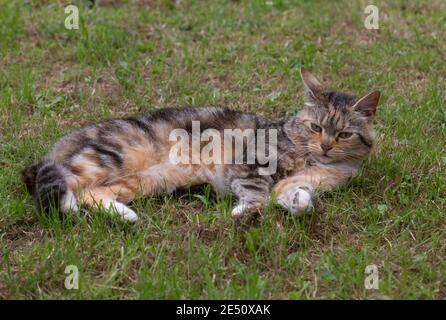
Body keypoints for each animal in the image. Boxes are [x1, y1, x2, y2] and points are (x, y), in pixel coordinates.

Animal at [21, 67, 380, 222]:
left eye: (343, 134)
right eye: (316, 127)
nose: (326, 147)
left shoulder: (297, 183)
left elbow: (297, 196)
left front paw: (297, 204)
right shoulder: (251, 162)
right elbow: (257, 195)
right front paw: (243, 211)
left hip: (146, 181)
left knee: (93, 193)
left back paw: (126, 215)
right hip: (109, 157)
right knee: (58, 181)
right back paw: (67, 204)